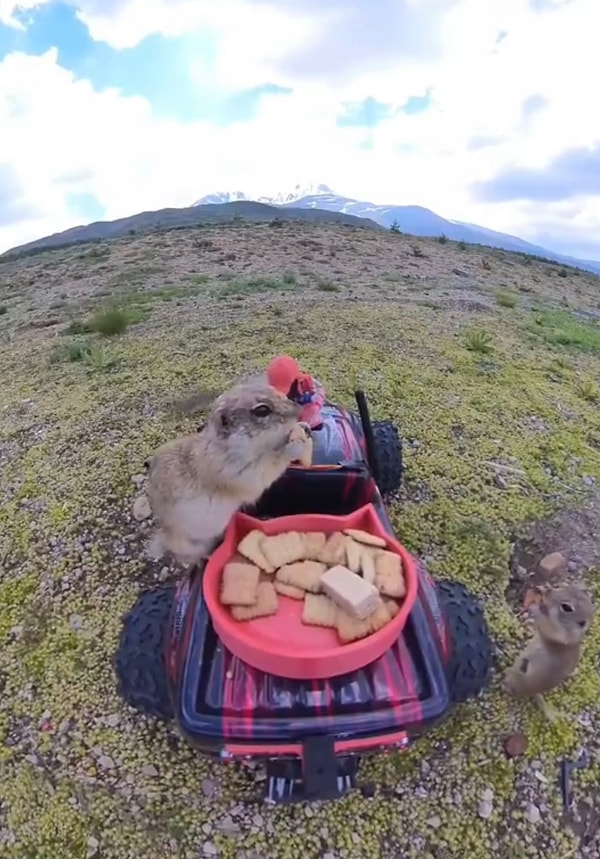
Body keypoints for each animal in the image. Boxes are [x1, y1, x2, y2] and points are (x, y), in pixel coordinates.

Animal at [146, 378, 310, 568]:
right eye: (262, 410)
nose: (300, 410)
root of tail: (165, 539)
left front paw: (304, 427)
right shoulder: (239, 471)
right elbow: (270, 465)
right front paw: (294, 446)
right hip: (191, 545)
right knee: (186, 558)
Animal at [502, 584, 596, 720]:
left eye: (567, 607)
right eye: (569, 587)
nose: (548, 592)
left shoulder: (557, 631)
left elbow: (542, 623)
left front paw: (534, 608)